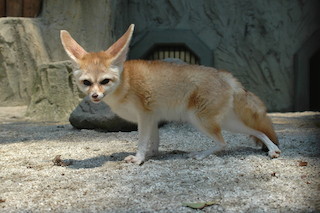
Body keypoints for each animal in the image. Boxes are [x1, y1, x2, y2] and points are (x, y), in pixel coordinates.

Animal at [60, 24, 280, 165]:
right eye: (87, 83)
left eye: (105, 81)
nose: (95, 96)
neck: (126, 82)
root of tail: (225, 75)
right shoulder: (153, 118)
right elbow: (154, 141)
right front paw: (152, 154)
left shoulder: (145, 116)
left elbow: (142, 140)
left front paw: (139, 158)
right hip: (226, 122)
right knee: (257, 131)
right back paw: (273, 150)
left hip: (200, 120)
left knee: (223, 143)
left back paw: (201, 155)